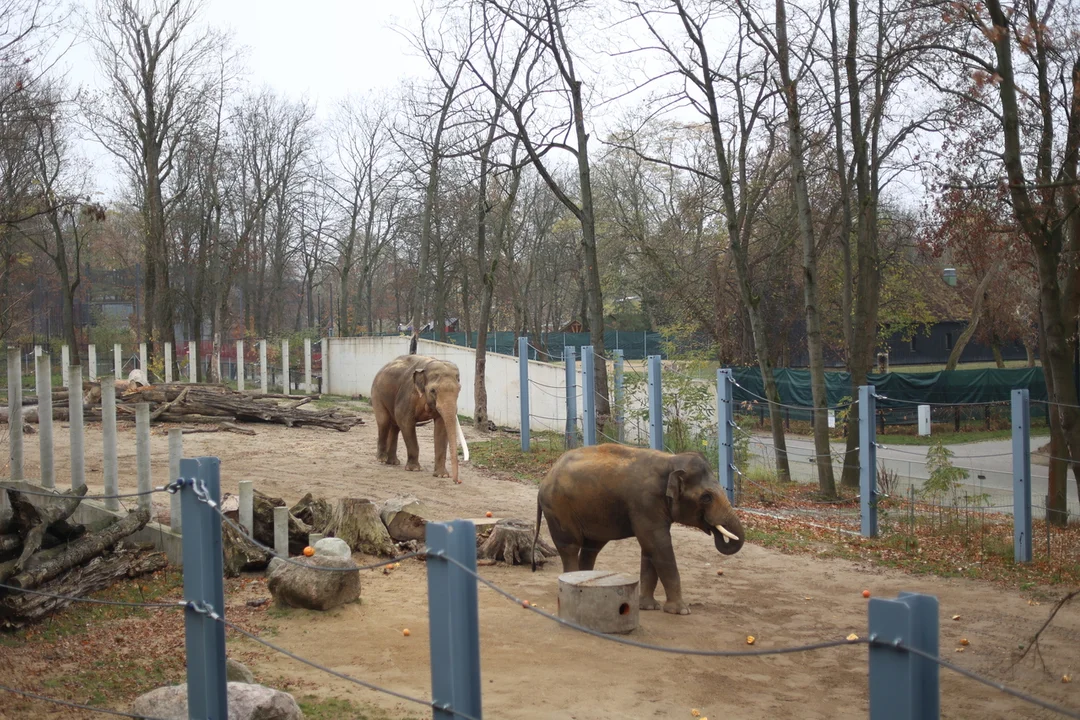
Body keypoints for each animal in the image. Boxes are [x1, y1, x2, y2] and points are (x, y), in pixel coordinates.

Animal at [371, 354, 468, 483]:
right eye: (433, 391)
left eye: (459, 390)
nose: (457, 481)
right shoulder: (407, 394)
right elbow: (405, 421)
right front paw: (414, 469)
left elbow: (441, 428)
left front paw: (442, 475)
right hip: (377, 394)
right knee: (384, 422)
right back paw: (381, 459)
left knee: (395, 426)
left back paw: (393, 462)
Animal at [529, 444, 743, 613]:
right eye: (706, 497)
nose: (715, 529)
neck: (670, 461)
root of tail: (546, 477)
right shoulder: (645, 502)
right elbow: (657, 544)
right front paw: (681, 611)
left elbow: (650, 548)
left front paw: (648, 607)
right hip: (558, 508)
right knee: (570, 547)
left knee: (592, 547)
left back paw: (586, 579)